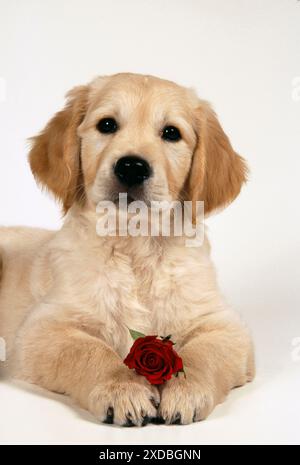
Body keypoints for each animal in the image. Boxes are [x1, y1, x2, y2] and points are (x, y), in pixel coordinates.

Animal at [0, 71, 254, 424]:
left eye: (171, 133)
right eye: (107, 125)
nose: (132, 166)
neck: (135, 249)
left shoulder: (226, 326)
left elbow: (202, 355)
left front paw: (187, 391)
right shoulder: (39, 330)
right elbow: (91, 351)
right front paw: (122, 390)